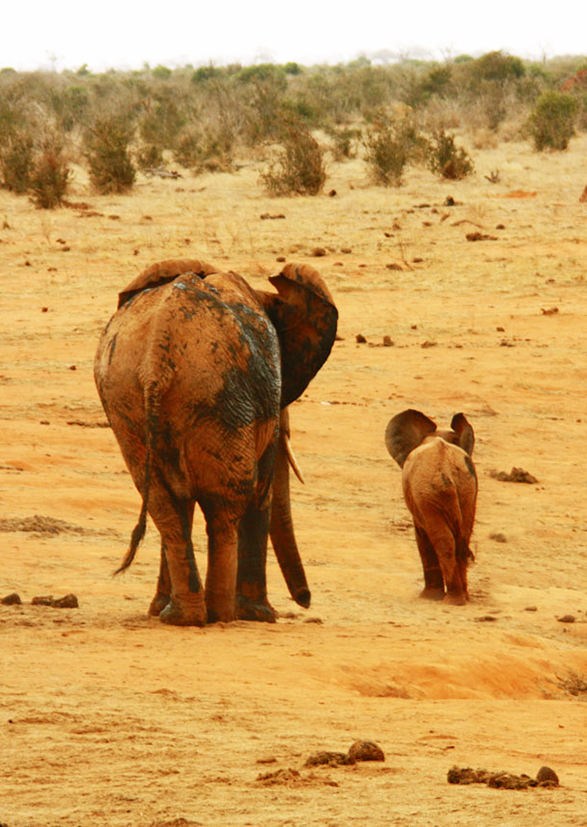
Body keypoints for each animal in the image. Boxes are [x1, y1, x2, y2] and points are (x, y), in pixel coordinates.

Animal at [94, 258, 338, 628]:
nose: (306, 600)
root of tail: (157, 352)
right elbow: (262, 490)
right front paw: (261, 615)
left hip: (128, 403)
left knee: (166, 505)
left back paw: (179, 616)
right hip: (221, 398)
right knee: (227, 502)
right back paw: (224, 615)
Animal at [386, 410, 478, 604]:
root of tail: (448, 474)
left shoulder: (420, 503)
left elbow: (421, 536)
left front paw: (428, 597)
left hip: (430, 495)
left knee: (443, 540)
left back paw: (453, 600)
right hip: (467, 491)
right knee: (463, 538)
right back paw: (463, 597)